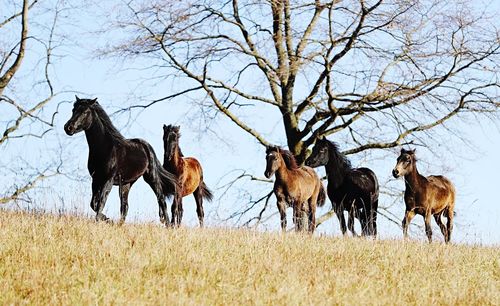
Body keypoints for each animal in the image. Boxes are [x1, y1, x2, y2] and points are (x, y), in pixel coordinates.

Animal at [64, 97, 178, 226]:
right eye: (73, 110)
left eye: (85, 112)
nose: (68, 128)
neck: (104, 148)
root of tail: (147, 146)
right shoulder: (96, 179)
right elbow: (94, 204)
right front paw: (107, 218)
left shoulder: (108, 179)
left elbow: (101, 202)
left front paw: (104, 219)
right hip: (126, 184)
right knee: (125, 207)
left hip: (151, 178)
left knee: (161, 200)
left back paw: (168, 224)